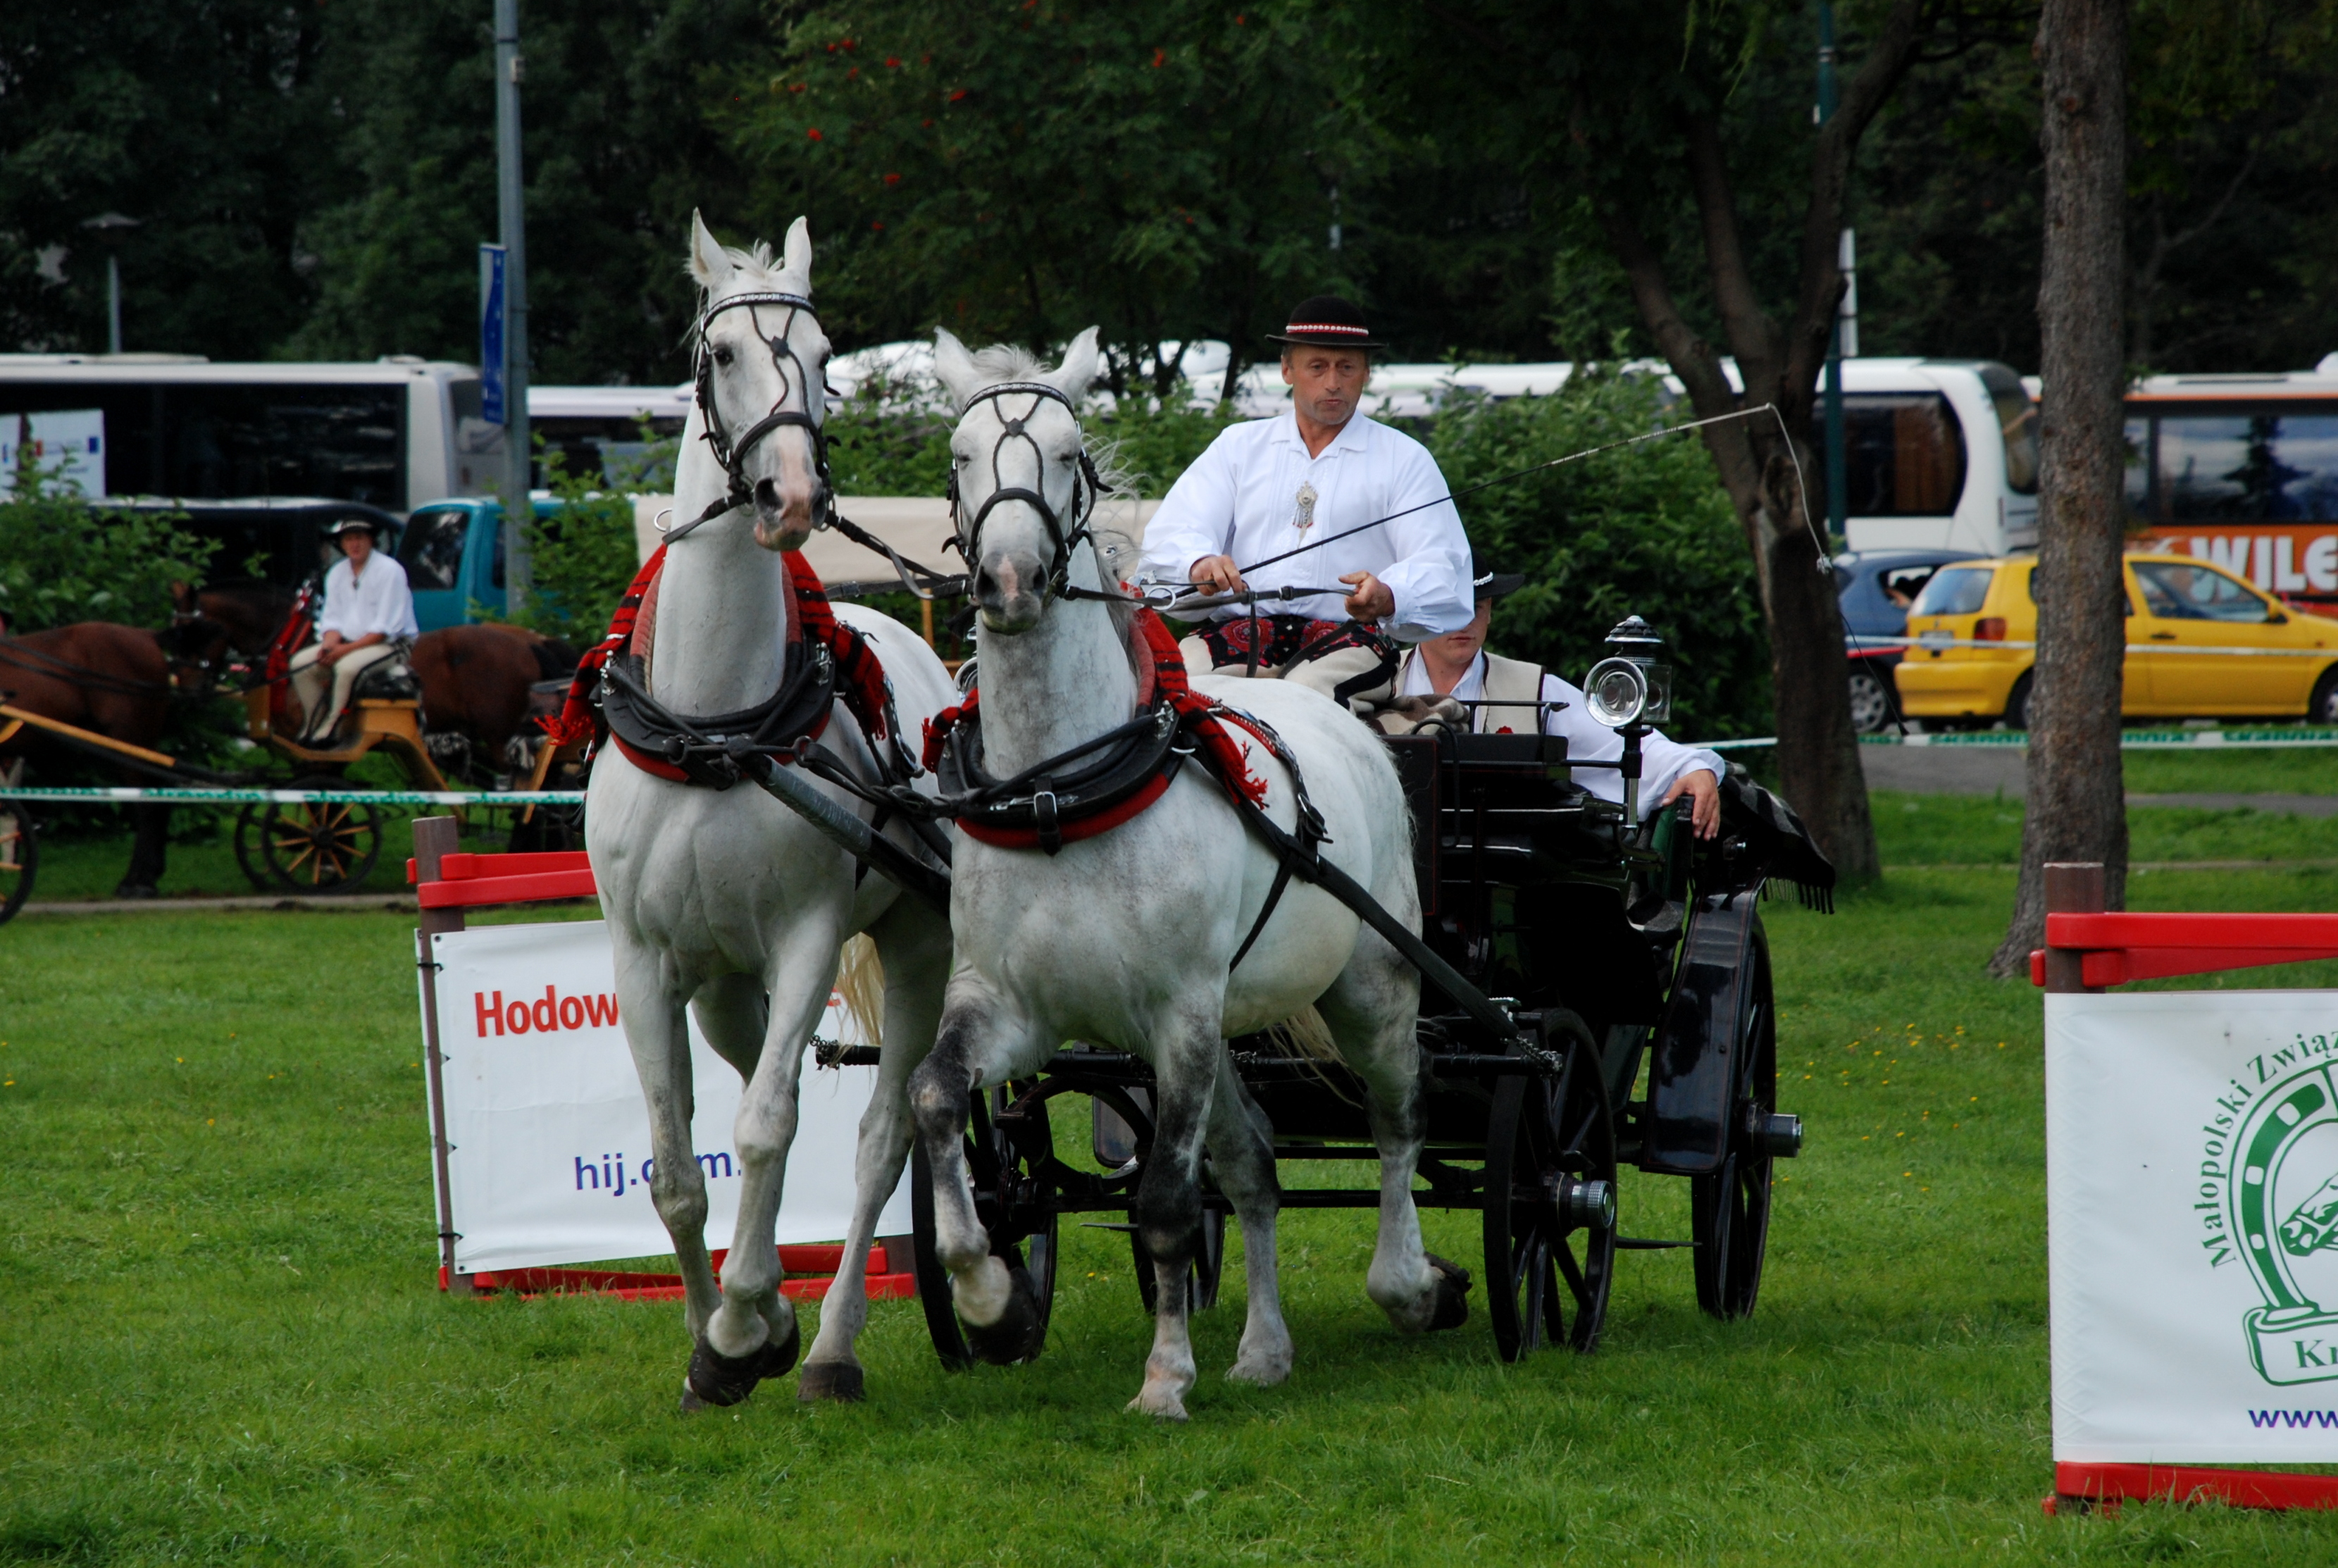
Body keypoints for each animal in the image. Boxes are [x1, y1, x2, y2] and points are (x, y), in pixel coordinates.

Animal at [583, 211, 959, 1410]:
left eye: (827, 356)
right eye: (722, 353)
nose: (790, 496)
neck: (715, 727)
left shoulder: (805, 938)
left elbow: (763, 1130)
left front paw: (753, 1316)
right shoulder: (643, 958)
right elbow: (675, 1165)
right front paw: (714, 1344)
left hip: (915, 938)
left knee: (879, 1131)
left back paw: (831, 1343)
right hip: (720, 981)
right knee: (764, 1074)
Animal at [903, 329, 1464, 1421]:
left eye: (1067, 454)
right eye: (959, 456)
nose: (1010, 578)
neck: (1061, 794)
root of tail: (1315, 697)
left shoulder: (1180, 1012)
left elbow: (1165, 1199)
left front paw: (1164, 1377)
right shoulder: (1009, 1005)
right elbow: (937, 1097)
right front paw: (991, 1298)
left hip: (1369, 990)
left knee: (1396, 1125)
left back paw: (1408, 1284)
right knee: (1254, 1166)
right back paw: (1264, 1348)